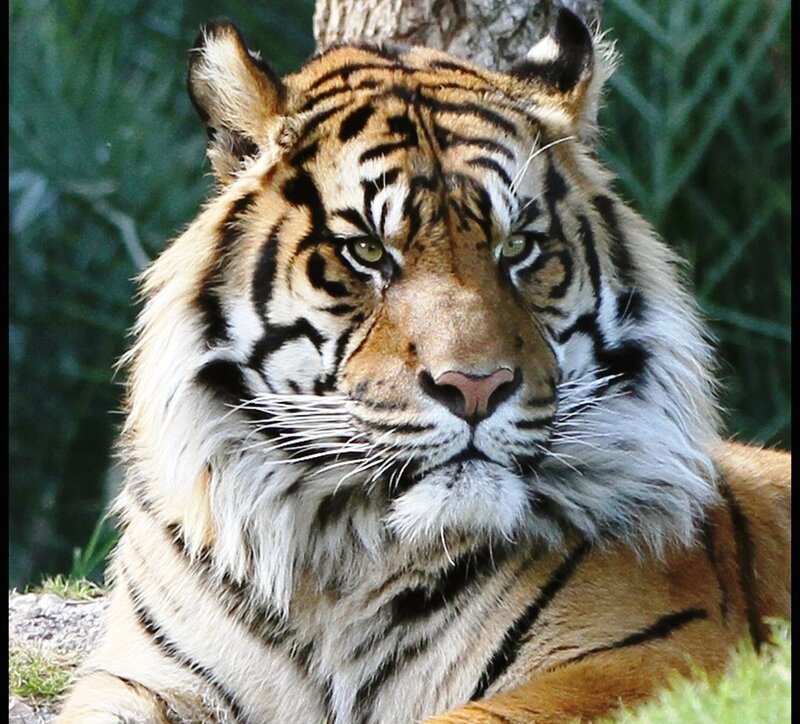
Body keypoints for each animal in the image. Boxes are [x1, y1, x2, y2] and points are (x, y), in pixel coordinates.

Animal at [58, 7, 790, 724]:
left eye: (517, 248)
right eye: (366, 251)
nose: (476, 386)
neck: (338, 566)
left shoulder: (648, 661)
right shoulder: (142, 675)